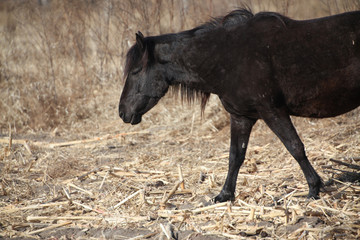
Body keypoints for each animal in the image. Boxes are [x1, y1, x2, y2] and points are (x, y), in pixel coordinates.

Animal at [119, 8, 360, 202]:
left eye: (135, 71)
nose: (122, 112)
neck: (227, 58)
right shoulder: (241, 117)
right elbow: (235, 156)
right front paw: (224, 195)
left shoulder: (273, 111)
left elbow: (295, 147)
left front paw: (314, 189)